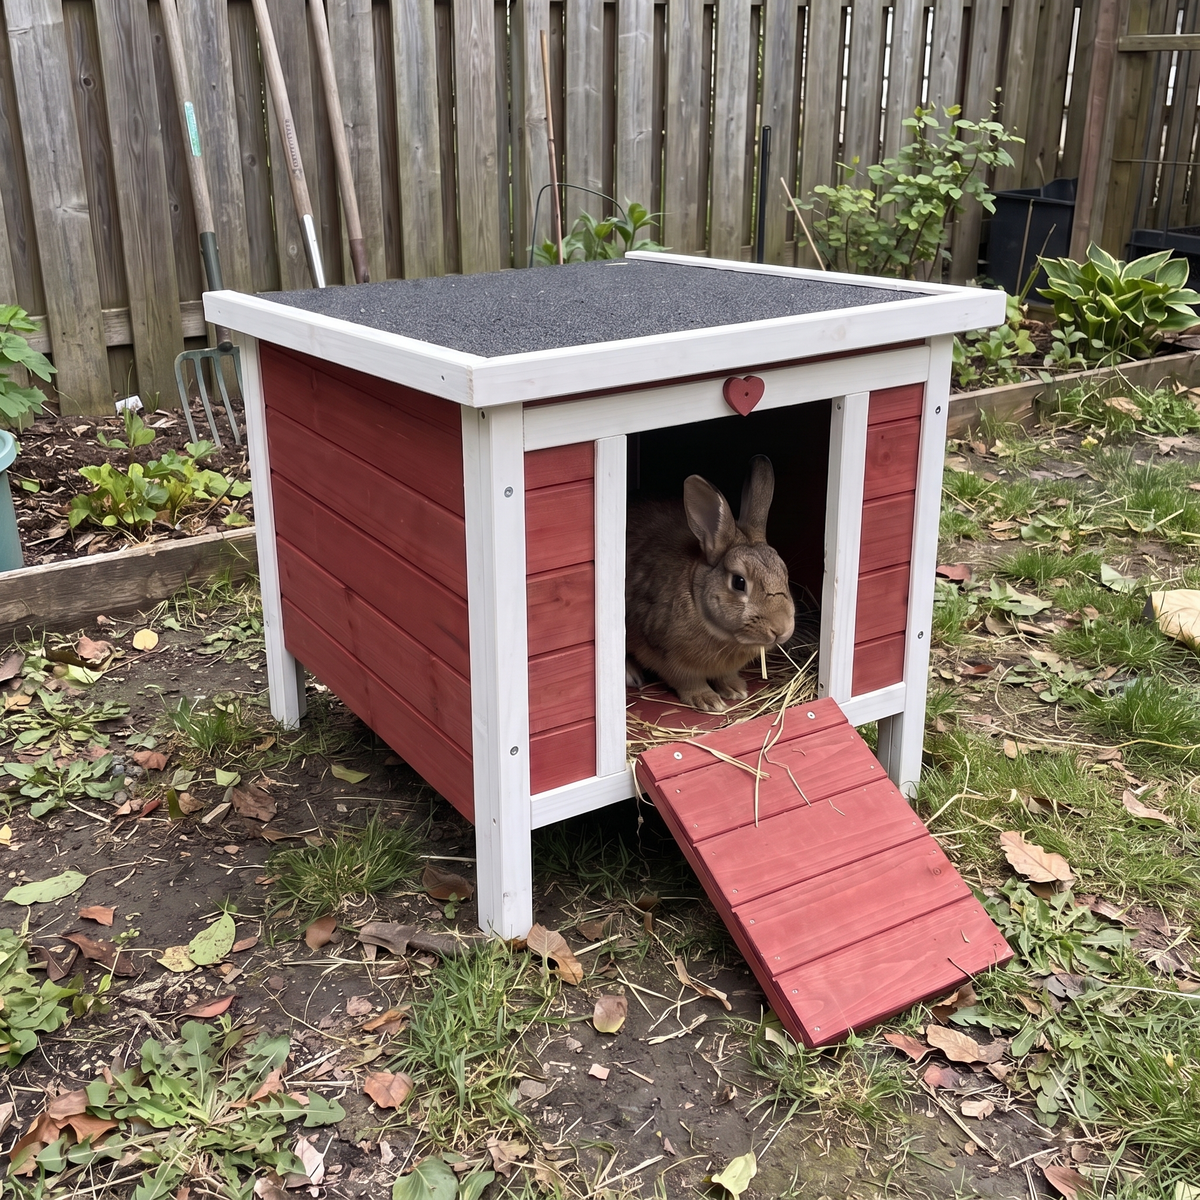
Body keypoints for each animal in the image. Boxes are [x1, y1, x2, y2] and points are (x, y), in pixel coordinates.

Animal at [626, 455, 796, 713]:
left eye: (784, 573)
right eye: (739, 582)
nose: (781, 629)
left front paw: (735, 689)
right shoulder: (665, 656)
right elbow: (687, 680)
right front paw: (707, 700)